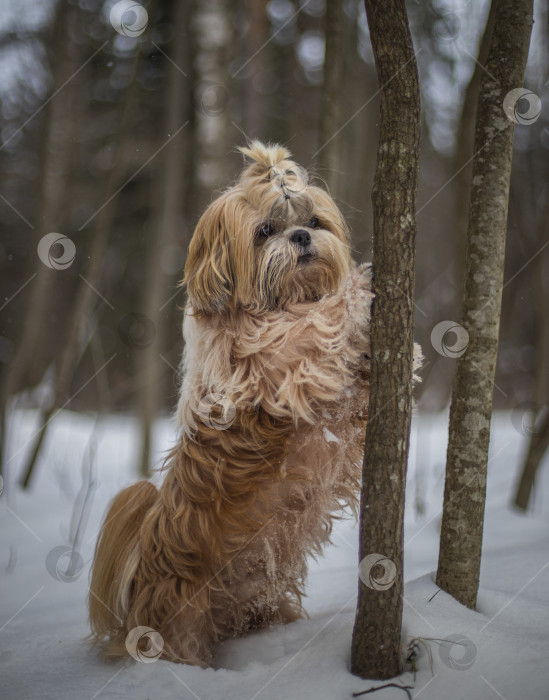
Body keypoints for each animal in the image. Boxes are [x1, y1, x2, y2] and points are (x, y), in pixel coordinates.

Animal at [90, 141, 394, 668]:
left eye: (314, 220)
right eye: (265, 231)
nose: (301, 236)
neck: (279, 303)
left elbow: (355, 404)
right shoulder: (271, 363)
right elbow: (313, 328)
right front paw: (356, 292)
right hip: (182, 625)